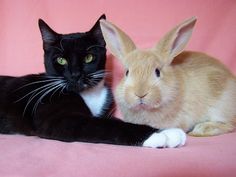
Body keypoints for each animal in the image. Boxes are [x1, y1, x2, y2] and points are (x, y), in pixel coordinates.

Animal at [0, 15, 186, 147]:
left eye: (89, 58)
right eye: (61, 60)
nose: (75, 74)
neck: (88, 94)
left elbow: (111, 120)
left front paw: (164, 130)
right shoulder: (55, 118)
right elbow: (104, 126)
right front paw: (162, 134)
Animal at [100, 17, 236, 136]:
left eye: (157, 72)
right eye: (127, 72)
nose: (140, 94)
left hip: (221, 106)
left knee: (230, 124)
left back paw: (201, 130)